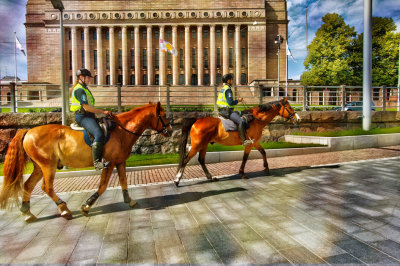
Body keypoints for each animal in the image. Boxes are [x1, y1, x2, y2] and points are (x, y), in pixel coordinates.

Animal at [0, 102, 172, 222]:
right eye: (163, 116)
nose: (170, 131)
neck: (121, 130)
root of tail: (29, 131)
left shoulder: (120, 162)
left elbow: (124, 182)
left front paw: (129, 200)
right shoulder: (109, 163)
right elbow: (103, 186)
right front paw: (86, 206)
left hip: (38, 167)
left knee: (28, 185)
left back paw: (27, 212)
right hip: (48, 165)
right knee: (46, 187)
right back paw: (64, 209)